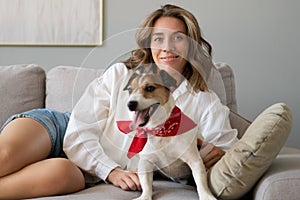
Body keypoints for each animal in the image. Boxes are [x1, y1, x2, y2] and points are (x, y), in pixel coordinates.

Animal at [120, 64, 217, 200]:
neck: (161, 130)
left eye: (150, 88)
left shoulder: (194, 160)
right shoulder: (146, 162)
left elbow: (201, 182)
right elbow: (146, 183)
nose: (130, 104)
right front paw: (145, 196)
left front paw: (206, 196)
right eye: (130, 90)